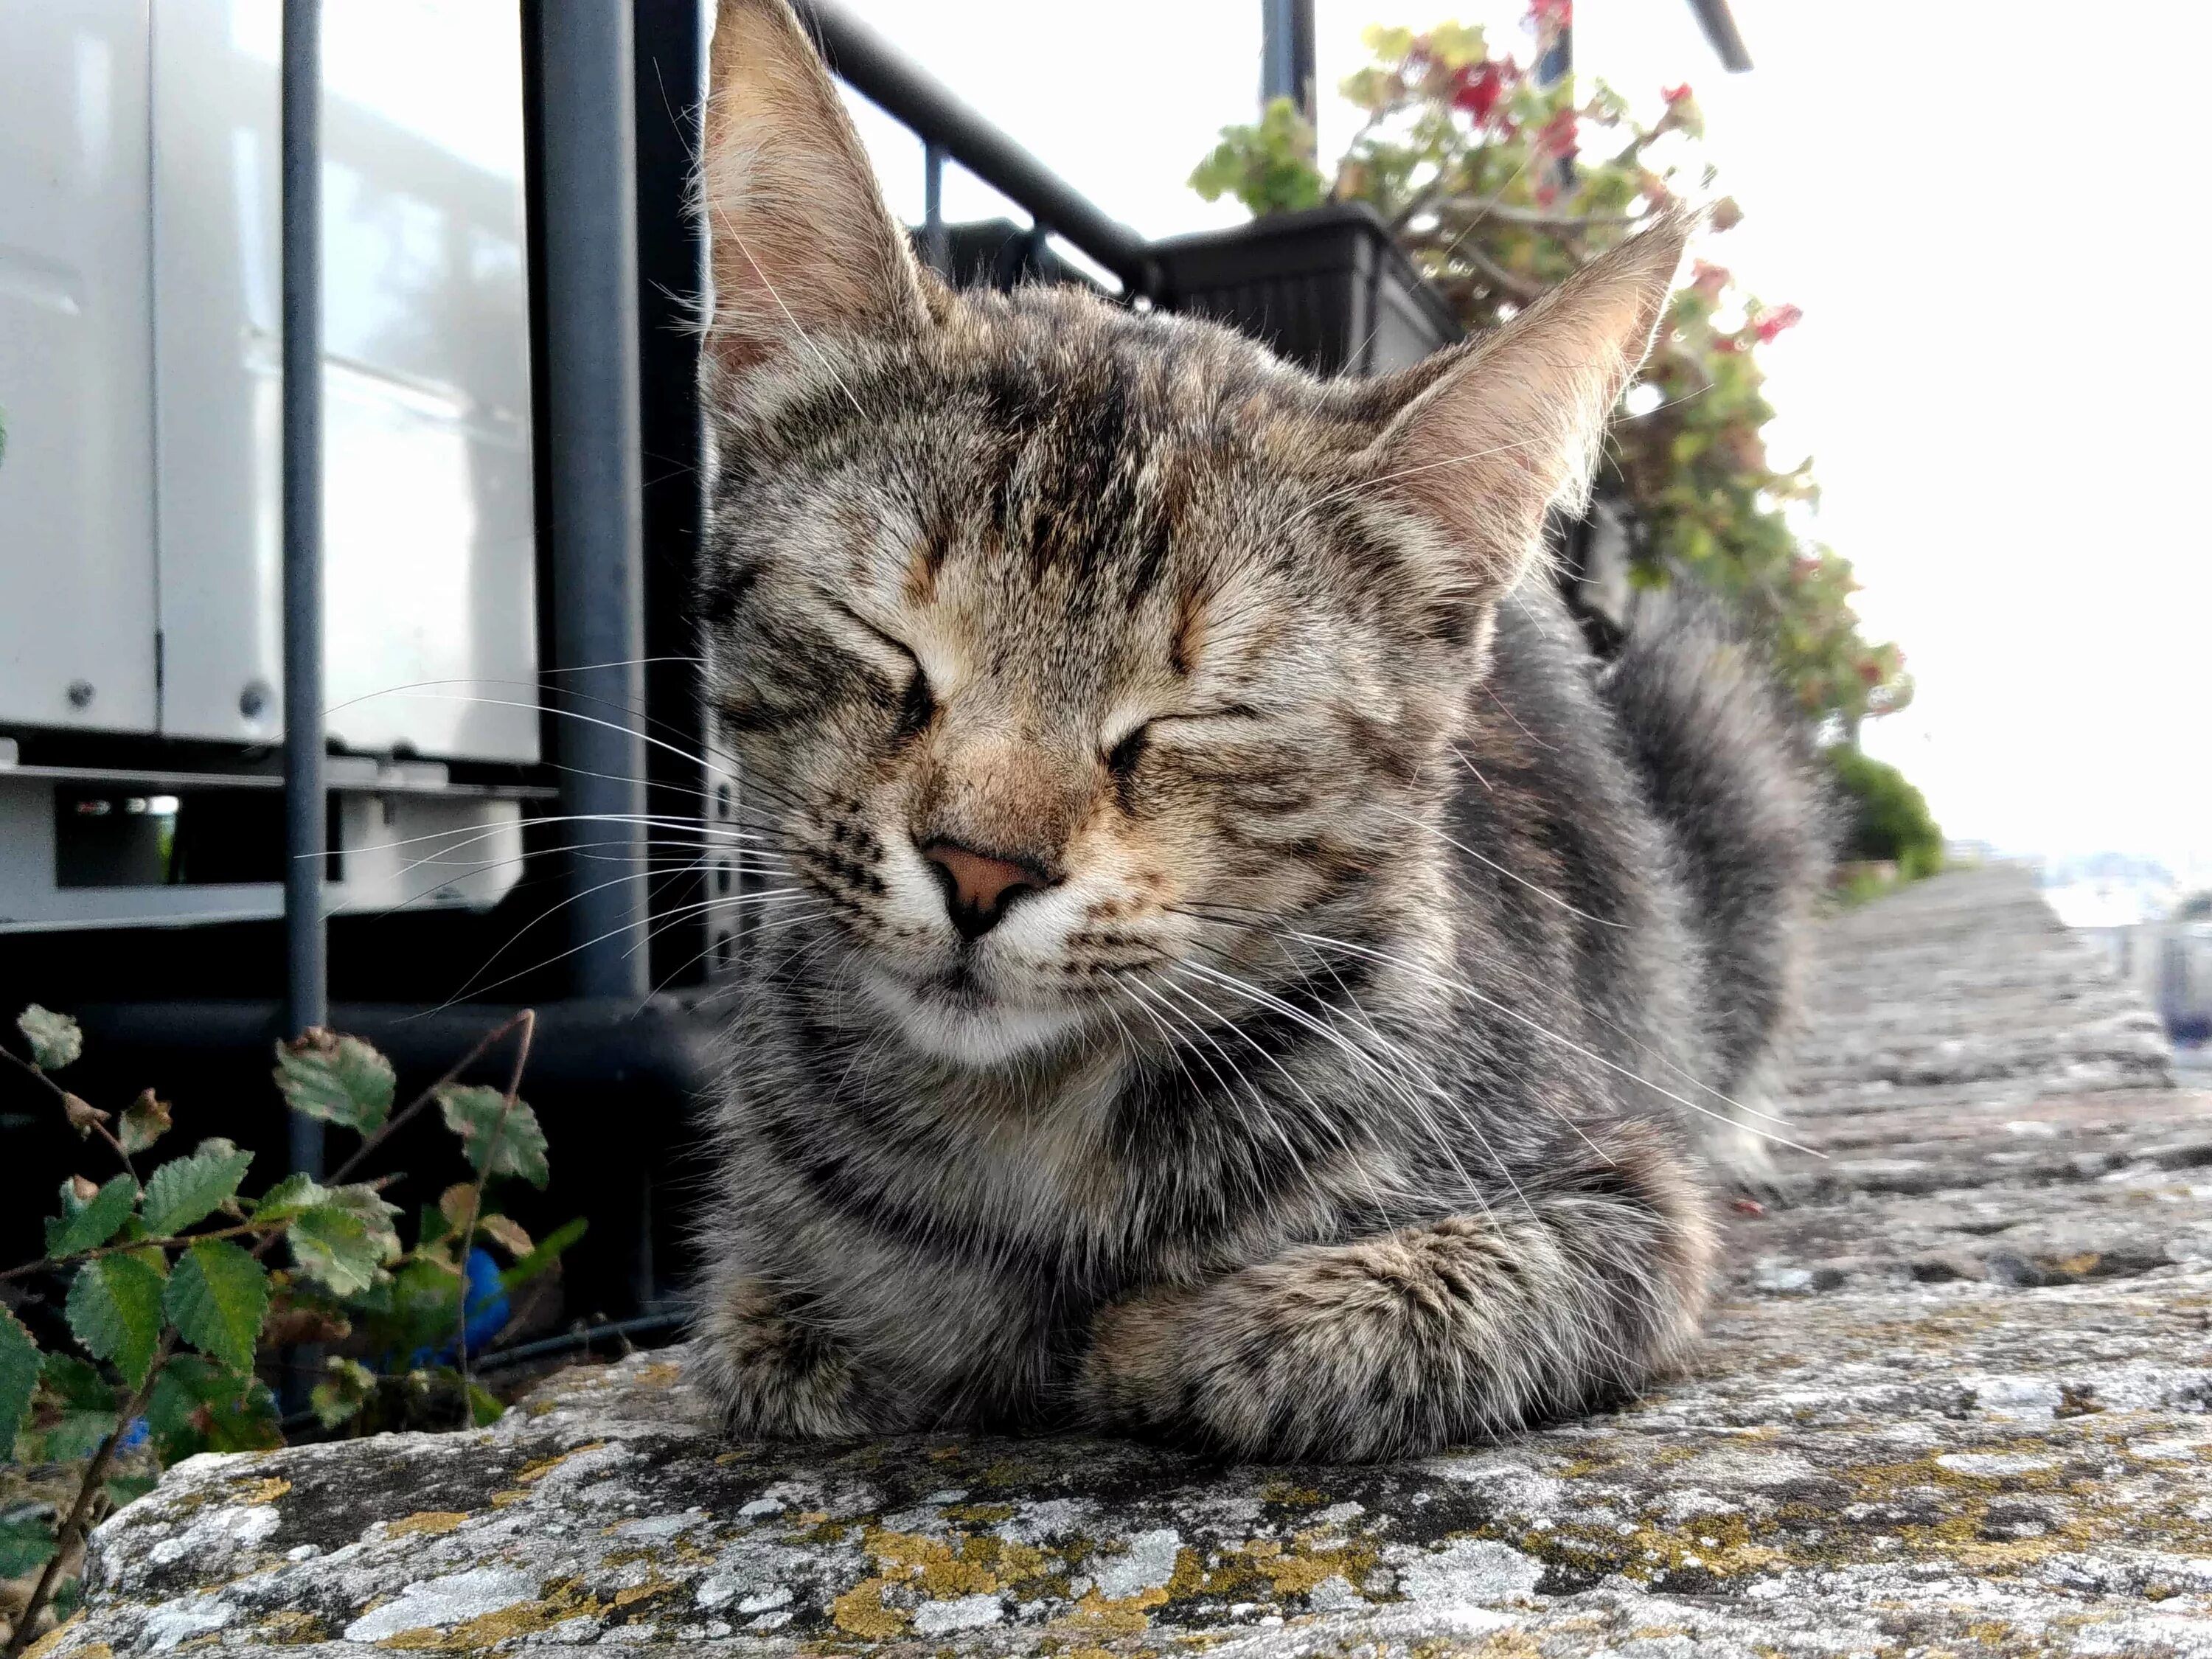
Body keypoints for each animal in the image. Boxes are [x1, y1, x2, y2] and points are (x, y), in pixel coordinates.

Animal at [695, 0, 1832, 1460]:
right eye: (883, 635)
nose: (980, 869)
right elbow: (777, 1333)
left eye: (1204, 710)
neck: (1029, 1124)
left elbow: (1309, 1325)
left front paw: (1161, 1334)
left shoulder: (1624, 1208)